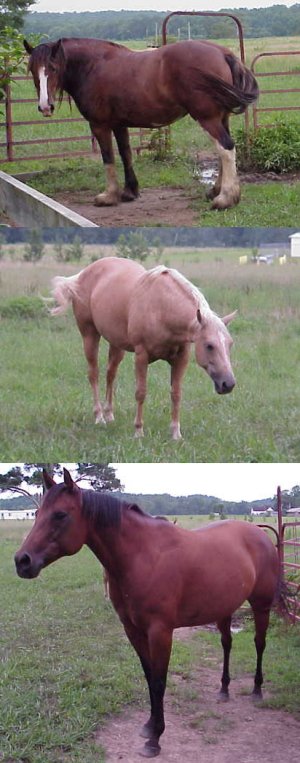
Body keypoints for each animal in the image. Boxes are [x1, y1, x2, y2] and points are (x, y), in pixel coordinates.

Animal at [15, 472, 286, 760]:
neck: (142, 557)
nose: (22, 561)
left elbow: (158, 681)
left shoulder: (160, 632)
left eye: (60, 515)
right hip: (223, 609)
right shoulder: (133, 630)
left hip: (261, 606)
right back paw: (223, 689)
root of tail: (260, 534)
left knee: (259, 643)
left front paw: (155, 739)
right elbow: (148, 677)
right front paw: (149, 726)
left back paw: (257, 690)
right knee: (227, 643)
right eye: (36, 513)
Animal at [22, 37, 258, 210]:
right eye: (33, 70)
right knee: (223, 151)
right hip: (221, 118)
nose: (45, 106)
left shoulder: (100, 125)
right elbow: (125, 154)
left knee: (226, 148)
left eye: (53, 68)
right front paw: (129, 191)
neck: (93, 66)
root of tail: (222, 53)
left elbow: (108, 158)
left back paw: (225, 198)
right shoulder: (119, 124)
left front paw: (109, 195)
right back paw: (215, 191)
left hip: (207, 118)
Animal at [49, 256, 237, 438]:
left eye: (230, 344)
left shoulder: (181, 358)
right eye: (209, 345)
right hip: (89, 335)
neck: (162, 308)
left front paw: (176, 433)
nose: (228, 384)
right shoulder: (141, 355)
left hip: (116, 344)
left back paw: (109, 414)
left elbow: (176, 394)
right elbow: (141, 392)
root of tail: (81, 275)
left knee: (110, 374)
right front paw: (138, 431)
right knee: (93, 374)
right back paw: (99, 417)